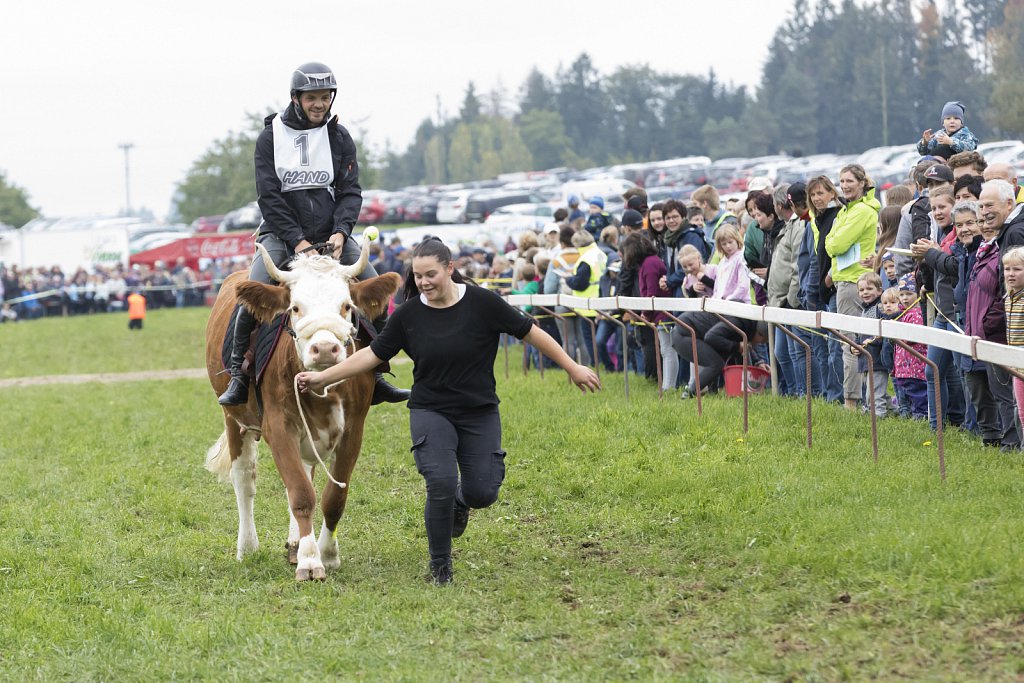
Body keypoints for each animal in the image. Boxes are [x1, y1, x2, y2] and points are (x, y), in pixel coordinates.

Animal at [203, 242, 399, 581]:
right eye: (295, 308)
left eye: (347, 306)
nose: (325, 349)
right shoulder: (279, 427)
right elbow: (301, 494)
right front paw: (310, 561)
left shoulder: (353, 430)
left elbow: (333, 497)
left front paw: (327, 554)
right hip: (234, 418)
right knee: (244, 479)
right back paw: (248, 547)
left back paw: (295, 543)